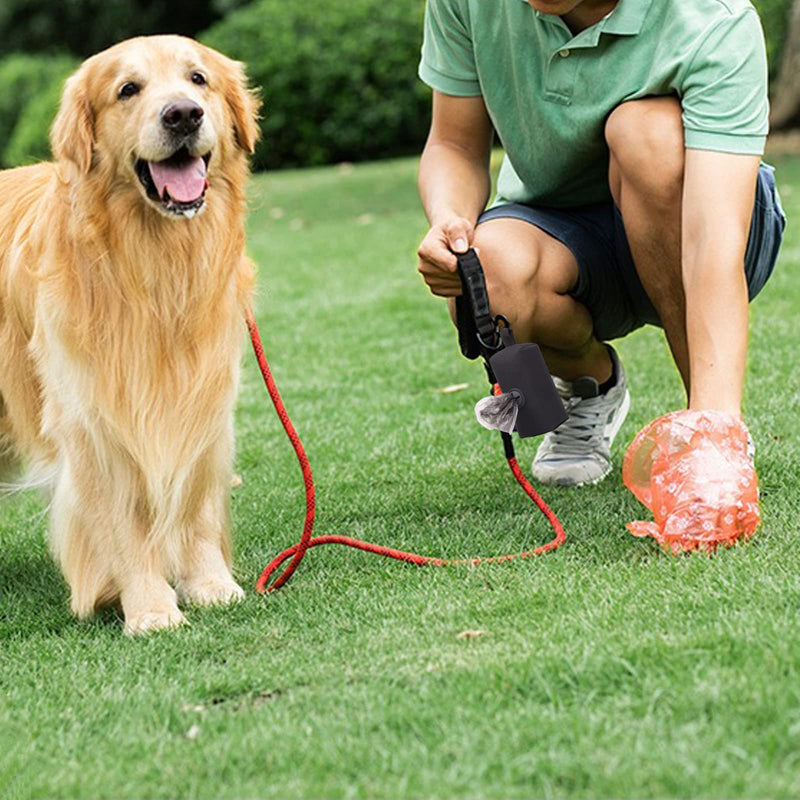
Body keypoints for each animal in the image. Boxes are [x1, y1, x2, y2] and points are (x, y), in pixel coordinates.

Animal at [0, 37, 260, 636]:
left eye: (198, 78)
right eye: (127, 89)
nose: (184, 114)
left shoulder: (202, 399)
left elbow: (195, 508)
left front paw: (211, 585)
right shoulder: (93, 422)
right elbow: (124, 526)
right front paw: (149, 609)